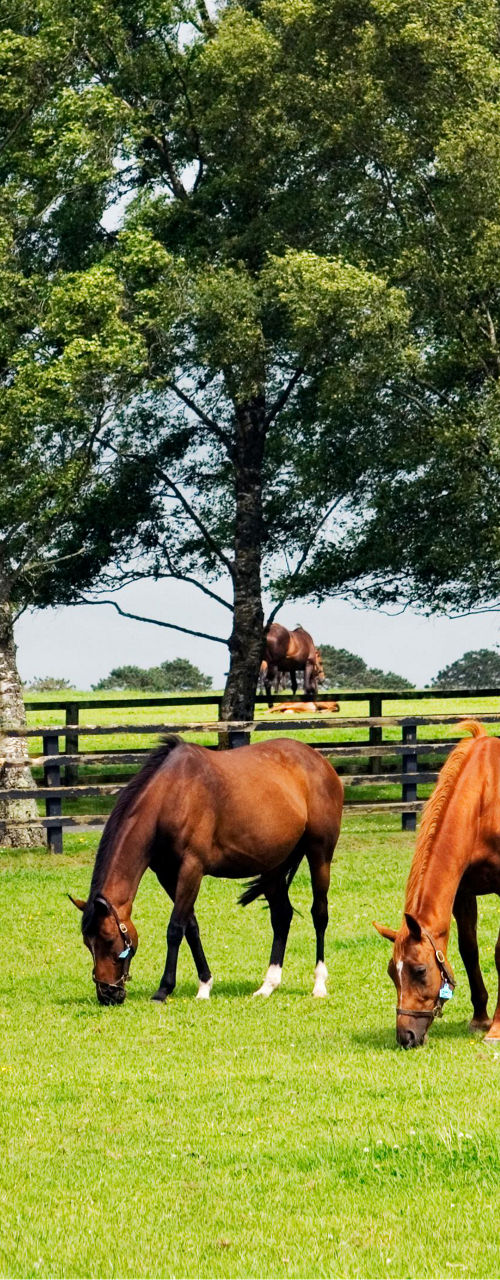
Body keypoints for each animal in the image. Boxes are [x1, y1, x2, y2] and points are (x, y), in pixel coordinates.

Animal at [70, 735, 344, 1006]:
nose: (107, 994)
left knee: (319, 914)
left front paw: (163, 990)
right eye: (86, 943)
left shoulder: (192, 868)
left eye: (108, 939)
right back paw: (268, 986)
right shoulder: (167, 874)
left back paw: (319, 985)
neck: (171, 796)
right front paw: (204, 985)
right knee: (281, 916)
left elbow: (175, 928)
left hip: (319, 855)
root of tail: (319, 761)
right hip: (273, 867)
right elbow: (191, 926)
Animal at [373, 720, 500, 1048]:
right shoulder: (463, 892)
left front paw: (495, 1027)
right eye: (392, 972)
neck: (484, 799)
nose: (406, 1036)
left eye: (419, 971)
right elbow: (469, 950)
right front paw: (480, 1017)